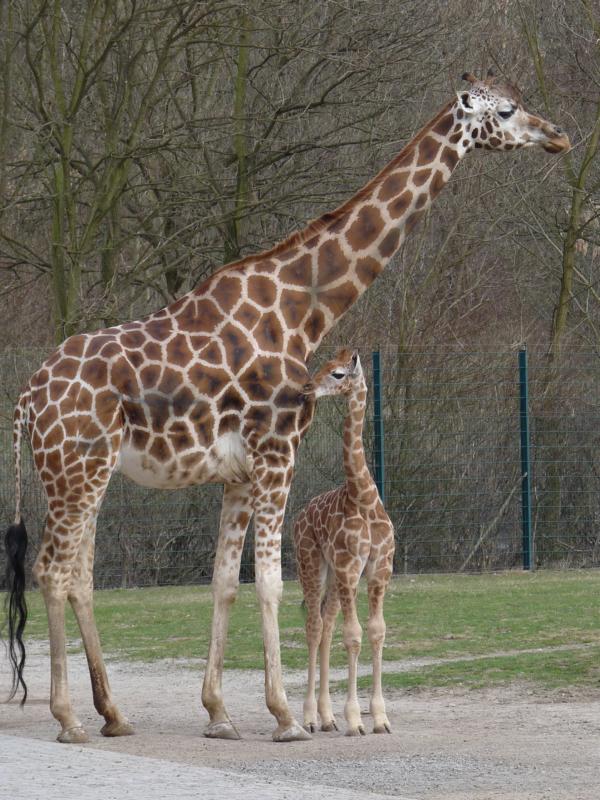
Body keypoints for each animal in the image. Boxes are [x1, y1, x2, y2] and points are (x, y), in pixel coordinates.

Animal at [294, 348, 394, 736]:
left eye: (337, 373)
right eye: (320, 365)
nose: (306, 388)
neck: (363, 496)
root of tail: (299, 516)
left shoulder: (379, 569)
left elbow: (376, 631)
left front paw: (380, 718)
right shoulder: (351, 568)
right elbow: (354, 635)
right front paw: (356, 719)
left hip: (335, 579)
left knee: (326, 624)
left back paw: (326, 717)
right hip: (311, 564)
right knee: (314, 626)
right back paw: (309, 717)